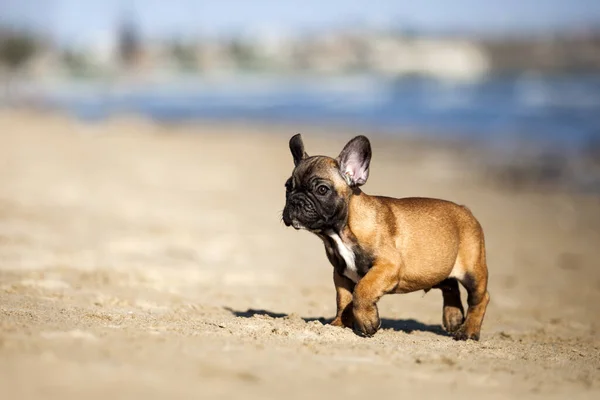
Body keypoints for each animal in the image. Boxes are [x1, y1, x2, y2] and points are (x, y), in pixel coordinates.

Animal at [284, 134, 490, 340]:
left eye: (322, 190)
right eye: (287, 187)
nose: (295, 201)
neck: (341, 232)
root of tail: (465, 210)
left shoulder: (388, 265)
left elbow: (362, 290)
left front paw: (367, 322)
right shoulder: (341, 273)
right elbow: (343, 300)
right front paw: (339, 324)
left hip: (473, 270)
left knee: (480, 299)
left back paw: (468, 331)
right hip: (437, 268)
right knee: (450, 285)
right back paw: (453, 317)